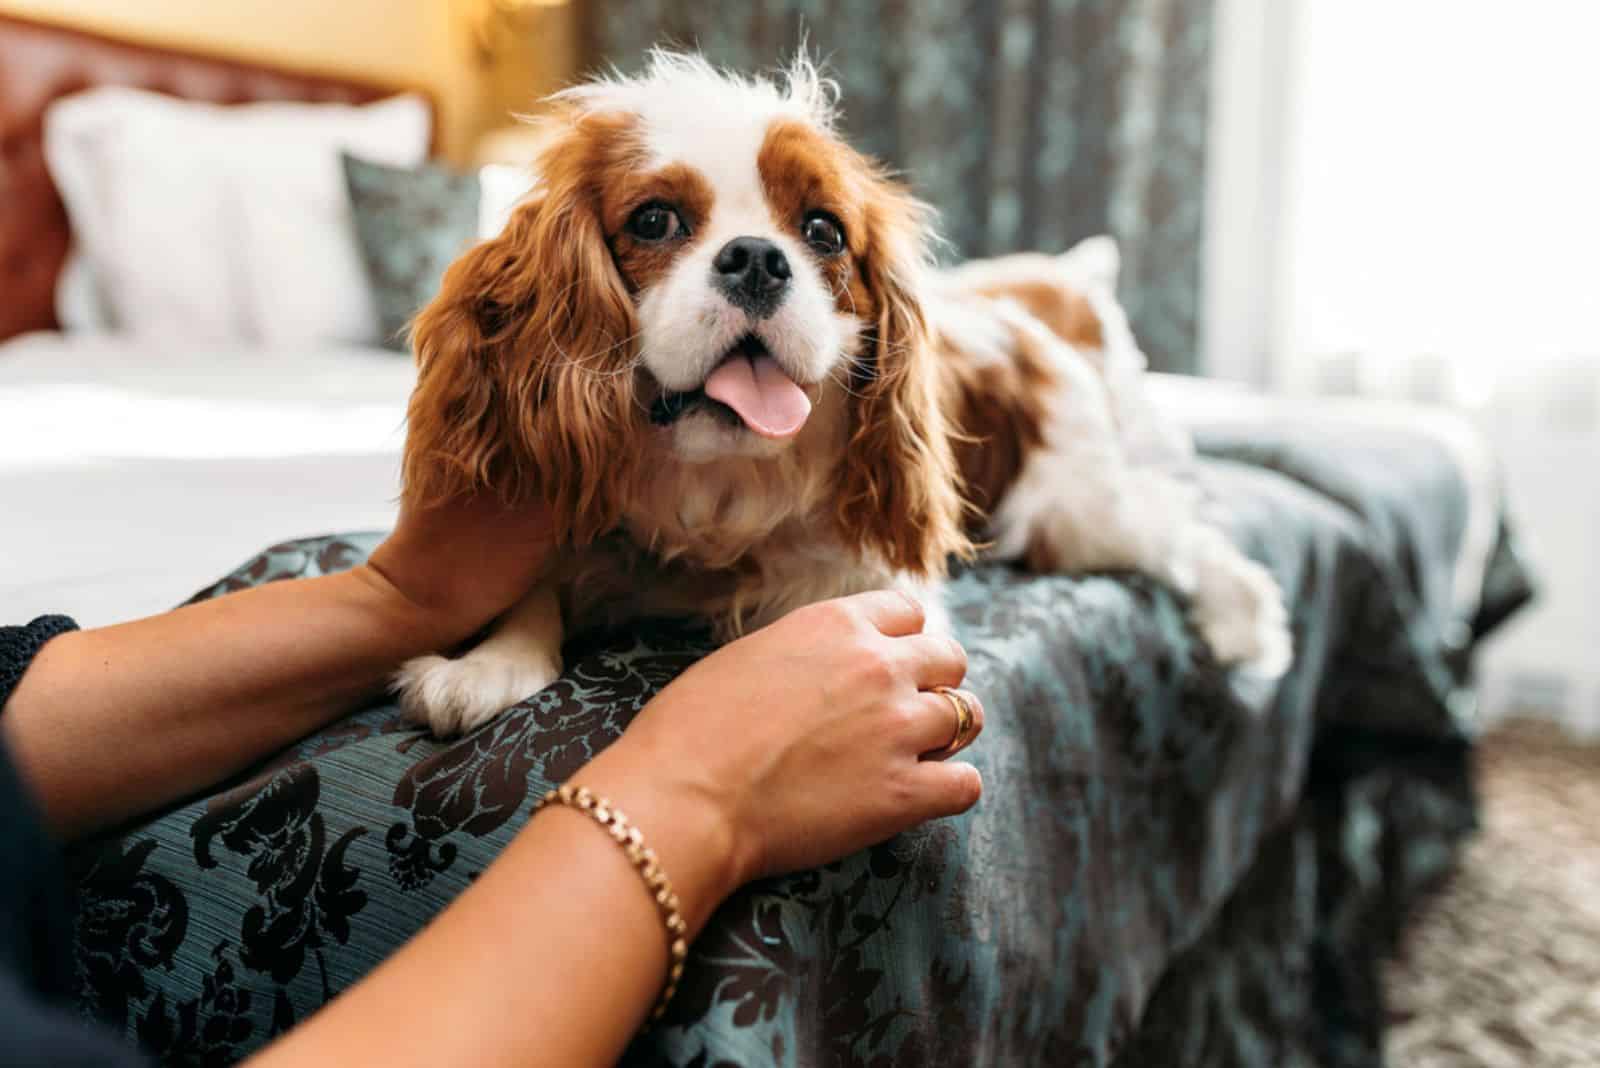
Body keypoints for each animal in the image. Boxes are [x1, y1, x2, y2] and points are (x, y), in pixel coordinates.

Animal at [396, 49, 1286, 735]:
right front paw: (488, 663)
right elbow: (531, 590)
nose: (758, 259)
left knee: (1185, 535)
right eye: (653, 221)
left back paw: (1248, 623)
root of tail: (1024, 311)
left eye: (822, 231)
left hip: (1077, 513)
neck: (719, 487)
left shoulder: (880, 589)